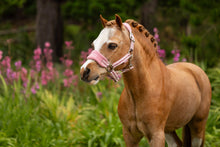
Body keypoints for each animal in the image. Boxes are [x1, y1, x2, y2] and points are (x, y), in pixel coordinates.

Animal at [79, 14, 211, 147]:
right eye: (94, 44)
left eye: (112, 45)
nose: (85, 71)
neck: (142, 91)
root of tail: (195, 69)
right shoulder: (130, 136)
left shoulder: (156, 135)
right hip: (169, 130)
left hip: (197, 127)